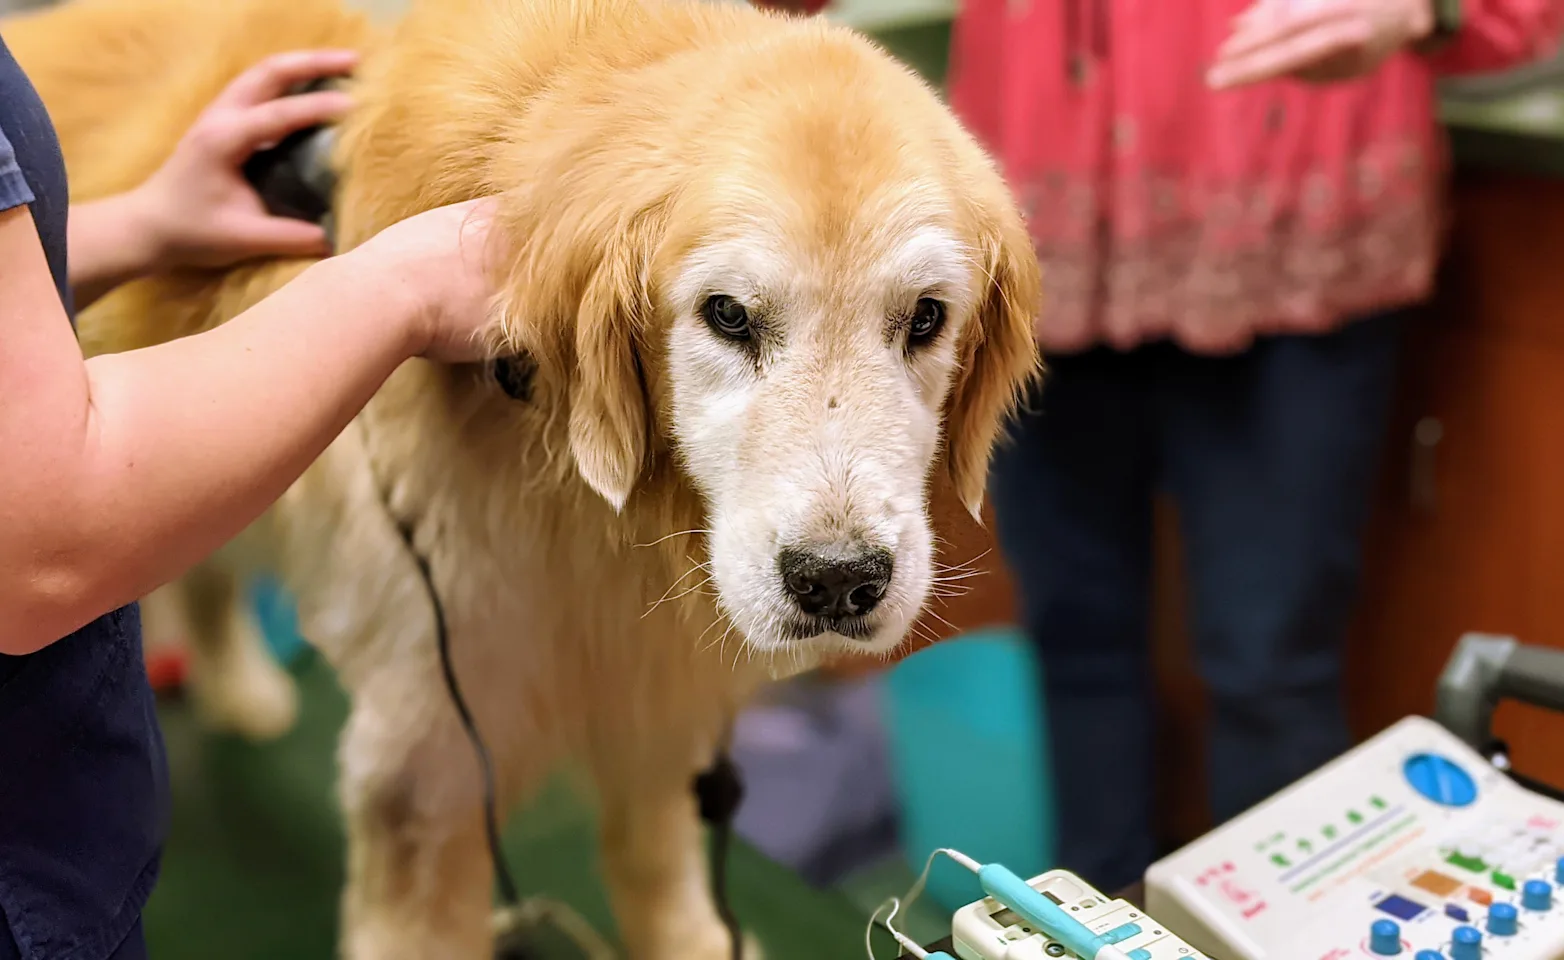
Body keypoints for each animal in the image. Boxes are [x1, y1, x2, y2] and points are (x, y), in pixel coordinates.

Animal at [12, 1, 1044, 956]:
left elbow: (658, 863)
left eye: (925, 318)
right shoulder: (427, 753)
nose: (837, 582)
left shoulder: (654, 694)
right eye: (728, 315)